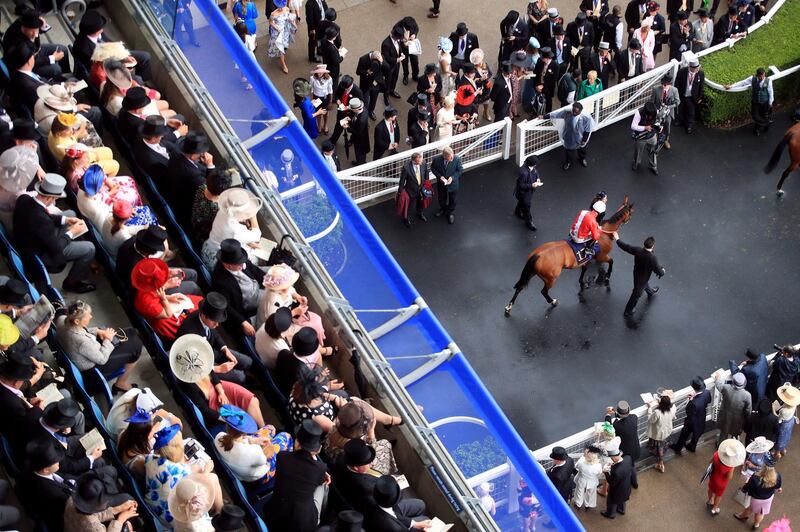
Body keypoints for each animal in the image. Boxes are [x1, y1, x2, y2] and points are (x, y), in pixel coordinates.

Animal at [504, 198, 636, 316]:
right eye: (631, 212)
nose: (630, 219)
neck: (605, 233)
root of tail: (538, 254)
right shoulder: (602, 256)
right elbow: (611, 261)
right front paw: (607, 276)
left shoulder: (586, 260)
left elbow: (584, 270)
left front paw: (582, 283)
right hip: (551, 278)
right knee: (543, 292)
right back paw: (552, 301)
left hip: (531, 272)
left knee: (520, 287)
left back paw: (509, 306)